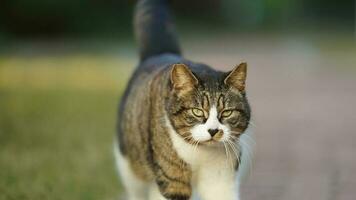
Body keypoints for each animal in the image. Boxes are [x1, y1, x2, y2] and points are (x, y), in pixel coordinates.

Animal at [114, 0, 253, 200]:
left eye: (227, 112)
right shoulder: (173, 182)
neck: (200, 154)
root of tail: (161, 53)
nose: (213, 131)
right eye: (197, 111)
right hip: (131, 169)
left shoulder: (221, 181)